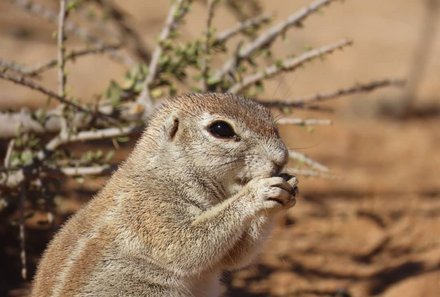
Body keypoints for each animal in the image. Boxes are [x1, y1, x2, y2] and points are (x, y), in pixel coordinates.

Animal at [31, 91, 300, 294]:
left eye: (269, 116)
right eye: (221, 129)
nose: (281, 158)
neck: (171, 169)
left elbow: (235, 256)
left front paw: (288, 187)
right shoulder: (149, 210)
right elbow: (184, 245)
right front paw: (257, 193)